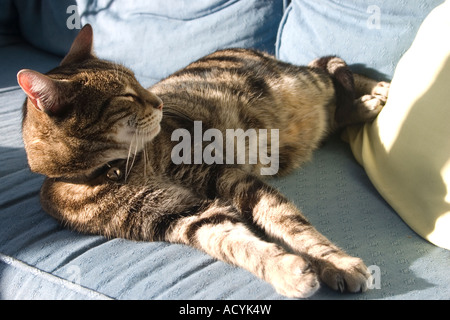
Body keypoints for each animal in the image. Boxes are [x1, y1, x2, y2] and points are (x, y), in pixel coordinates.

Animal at [17, 25, 388, 298]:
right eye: (126, 95)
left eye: (139, 81)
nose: (158, 102)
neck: (118, 169)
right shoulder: (180, 216)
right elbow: (235, 243)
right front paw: (286, 271)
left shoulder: (226, 177)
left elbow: (291, 225)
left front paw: (337, 263)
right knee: (333, 98)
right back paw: (364, 105)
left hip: (298, 82)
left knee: (328, 66)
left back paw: (379, 90)